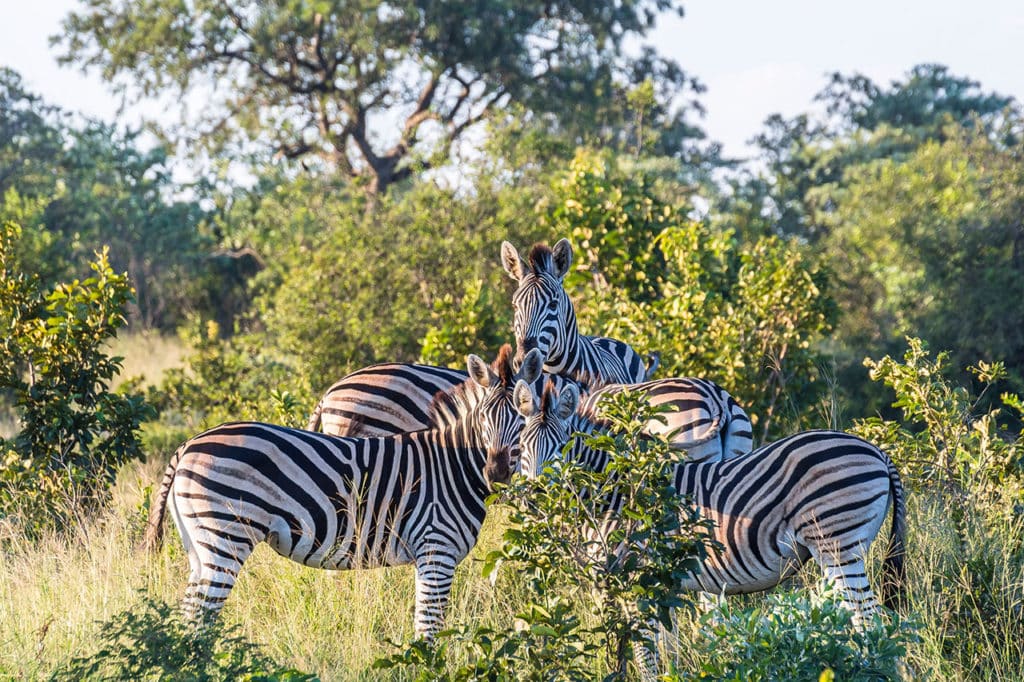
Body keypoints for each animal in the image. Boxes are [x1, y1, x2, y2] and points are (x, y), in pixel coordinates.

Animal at [145, 348, 544, 638]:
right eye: (485, 418)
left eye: (522, 416)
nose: (496, 473)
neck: (455, 466)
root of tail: (188, 443)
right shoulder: (436, 551)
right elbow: (429, 630)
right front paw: (428, 668)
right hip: (226, 537)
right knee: (198, 620)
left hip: (199, 545)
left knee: (188, 614)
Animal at [516, 378, 909, 622]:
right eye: (522, 446)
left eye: (563, 448)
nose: (534, 498)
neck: (616, 490)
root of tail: (878, 451)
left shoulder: (629, 577)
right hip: (842, 550)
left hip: (838, 543)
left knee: (869, 620)